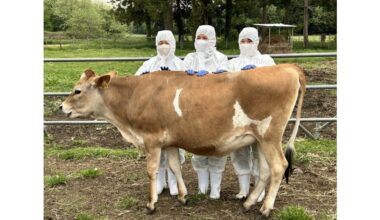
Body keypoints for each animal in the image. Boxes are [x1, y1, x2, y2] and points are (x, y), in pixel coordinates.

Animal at [60, 64, 308, 217]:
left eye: (77, 90)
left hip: (270, 135)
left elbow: (152, 171)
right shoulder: (169, 142)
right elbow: (174, 167)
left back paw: (265, 208)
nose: (61, 106)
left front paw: (151, 204)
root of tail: (286, 67)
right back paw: (249, 203)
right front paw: (182, 197)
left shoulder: (151, 139)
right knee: (265, 171)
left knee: (279, 166)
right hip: (258, 139)